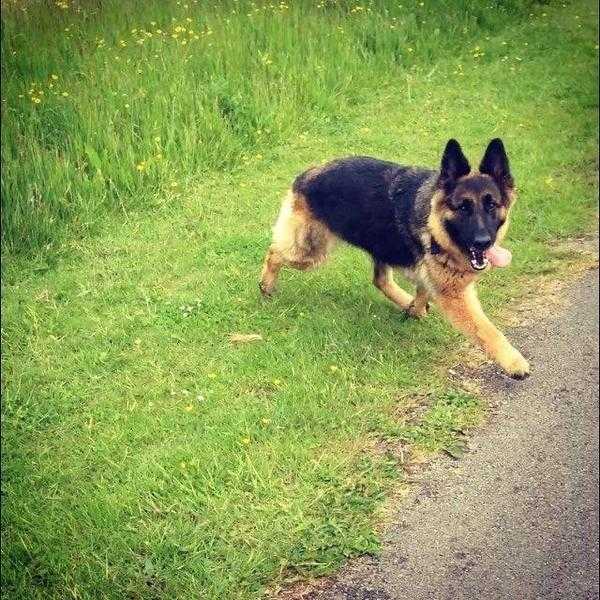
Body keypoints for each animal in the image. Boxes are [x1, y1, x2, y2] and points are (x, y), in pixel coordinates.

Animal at [258, 138, 528, 378]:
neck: (436, 222)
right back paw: (266, 285)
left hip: (379, 246)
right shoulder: (455, 295)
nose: (484, 242)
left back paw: (407, 302)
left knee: (380, 280)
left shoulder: (433, 274)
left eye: (492, 205)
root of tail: (308, 174)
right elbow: (486, 329)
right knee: (274, 252)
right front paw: (514, 362)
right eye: (463, 207)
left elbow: (423, 288)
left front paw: (415, 307)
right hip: (309, 251)